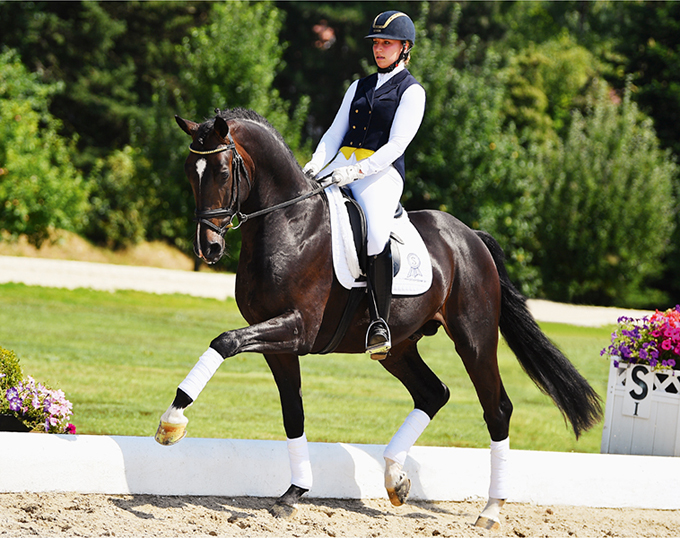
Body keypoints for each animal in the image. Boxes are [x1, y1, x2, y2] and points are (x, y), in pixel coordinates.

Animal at [155, 107, 602, 529]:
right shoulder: (278, 344)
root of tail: (470, 237)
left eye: (223, 171)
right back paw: (395, 479)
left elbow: (224, 341)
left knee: (497, 409)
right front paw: (292, 494)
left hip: (474, 339)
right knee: (433, 393)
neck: (290, 225)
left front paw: (172, 421)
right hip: (398, 347)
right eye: (189, 171)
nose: (209, 247)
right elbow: (292, 412)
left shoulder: (298, 329)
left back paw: (490, 510)